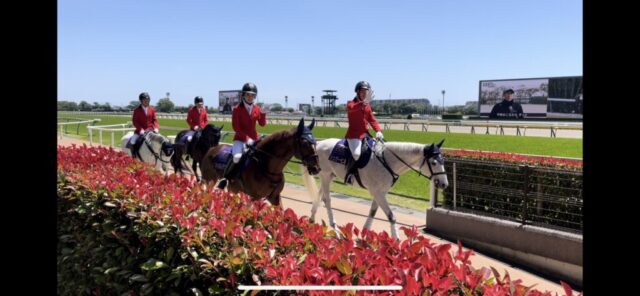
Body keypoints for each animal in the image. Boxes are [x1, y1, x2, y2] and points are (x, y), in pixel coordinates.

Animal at [302, 138, 448, 238]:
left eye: (443, 161)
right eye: (434, 162)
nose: (444, 184)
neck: (387, 161)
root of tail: (319, 144)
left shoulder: (380, 192)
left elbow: (372, 212)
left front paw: (365, 233)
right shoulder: (378, 193)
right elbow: (391, 216)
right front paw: (396, 240)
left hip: (328, 176)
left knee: (320, 195)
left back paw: (312, 219)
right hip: (326, 176)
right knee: (327, 200)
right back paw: (335, 228)